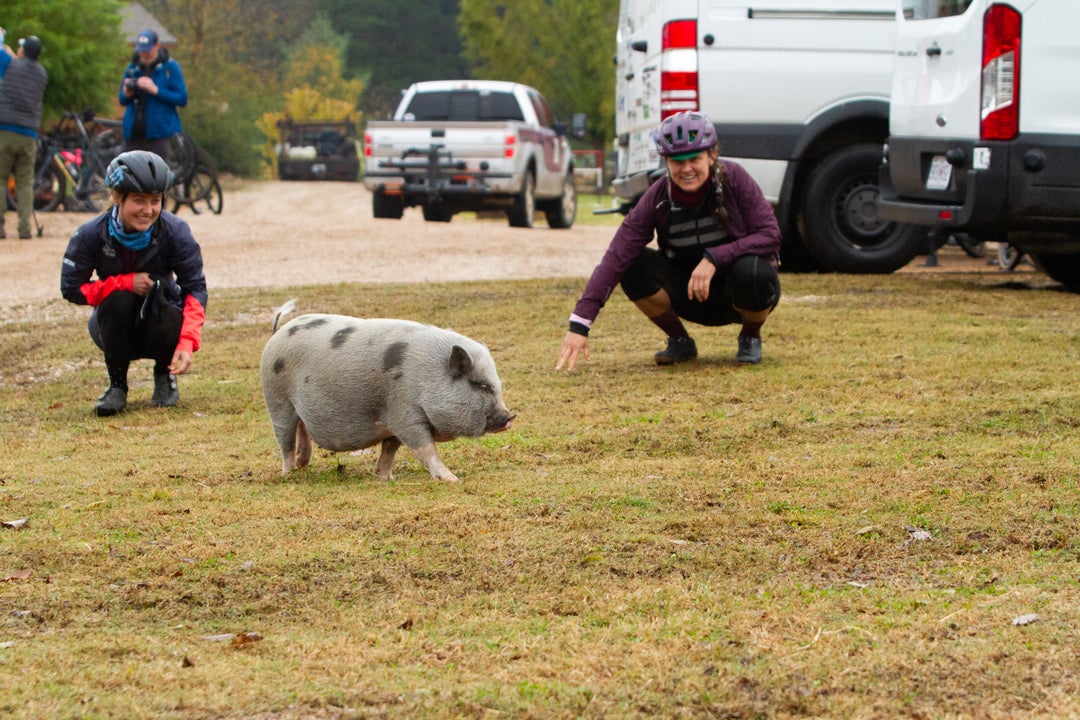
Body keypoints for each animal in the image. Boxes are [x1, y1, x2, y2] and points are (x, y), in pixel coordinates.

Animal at [260, 309, 515, 482]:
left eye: (496, 385)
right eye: (481, 385)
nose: (509, 417)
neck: (426, 377)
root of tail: (279, 332)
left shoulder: (392, 422)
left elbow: (390, 449)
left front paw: (386, 478)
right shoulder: (405, 414)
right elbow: (425, 449)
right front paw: (452, 479)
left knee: (302, 430)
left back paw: (302, 466)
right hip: (277, 401)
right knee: (284, 440)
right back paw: (288, 473)